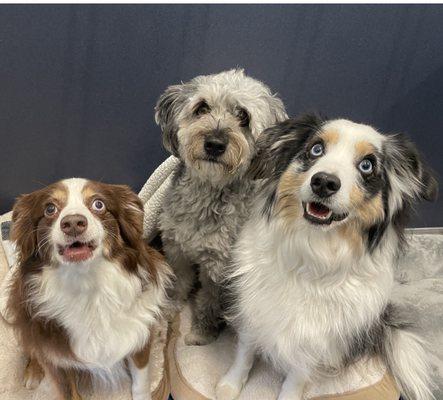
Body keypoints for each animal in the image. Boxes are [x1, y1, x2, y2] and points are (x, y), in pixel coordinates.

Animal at [6, 179, 172, 400]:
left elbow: (141, 382)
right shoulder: (58, 359)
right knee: (32, 347)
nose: (73, 223)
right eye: (50, 209)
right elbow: (66, 389)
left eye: (98, 204)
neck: (87, 283)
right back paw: (33, 371)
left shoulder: (138, 334)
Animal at [156, 69, 288, 344]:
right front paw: (170, 307)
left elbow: (209, 301)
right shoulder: (176, 249)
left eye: (243, 116)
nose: (215, 144)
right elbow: (178, 282)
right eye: (202, 108)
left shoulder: (218, 269)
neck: (207, 193)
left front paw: (201, 332)